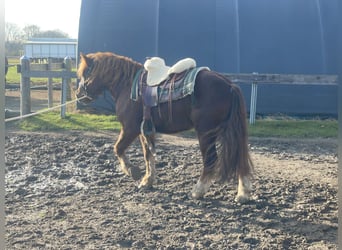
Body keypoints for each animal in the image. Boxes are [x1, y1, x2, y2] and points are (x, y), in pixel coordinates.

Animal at [77, 51, 254, 202]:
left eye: (85, 73)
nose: (78, 95)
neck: (127, 85)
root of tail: (229, 85)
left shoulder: (130, 128)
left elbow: (118, 148)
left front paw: (133, 172)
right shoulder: (144, 130)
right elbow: (148, 155)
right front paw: (147, 181)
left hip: (206, 133)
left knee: (211, 160)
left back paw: (198, 191)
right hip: (233, 132)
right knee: (241, 158)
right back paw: (243, 194)